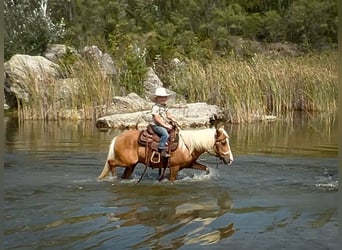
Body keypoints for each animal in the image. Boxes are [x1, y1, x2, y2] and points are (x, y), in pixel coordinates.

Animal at [97, 126, 234, 181]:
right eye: (223, 142)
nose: (230, 159)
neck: (188, 146)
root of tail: (118, 138)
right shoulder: (174, 167)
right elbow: (171, 179)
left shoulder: (189, 164)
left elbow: (206, 169)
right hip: (128, 162)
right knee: (111, 162)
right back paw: (113, 176)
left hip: (130, 165)